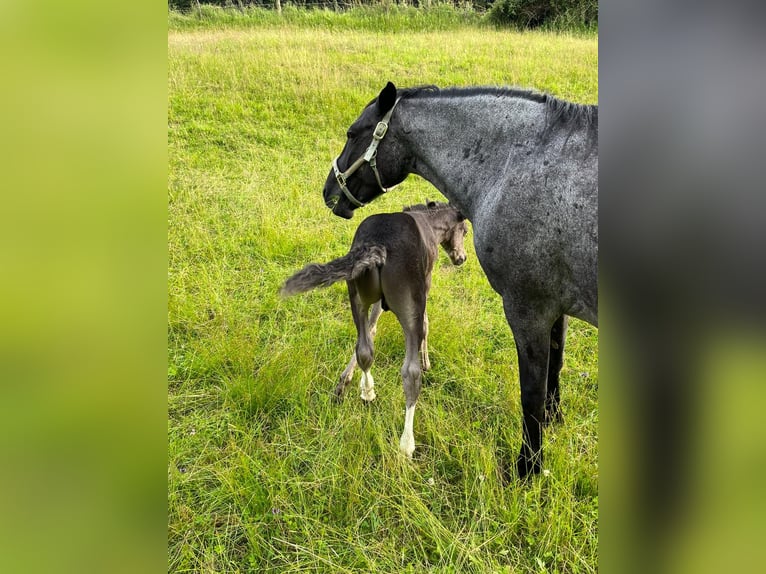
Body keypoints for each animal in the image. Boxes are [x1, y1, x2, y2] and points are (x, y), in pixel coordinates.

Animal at [324, 80, 600, 476]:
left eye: (352, 133)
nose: (328, 192)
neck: (518, 165)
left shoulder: (528, 309)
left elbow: (530, 394)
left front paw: (527, 469)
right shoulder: (557, 307)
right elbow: (555, 365)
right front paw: (554, 420)